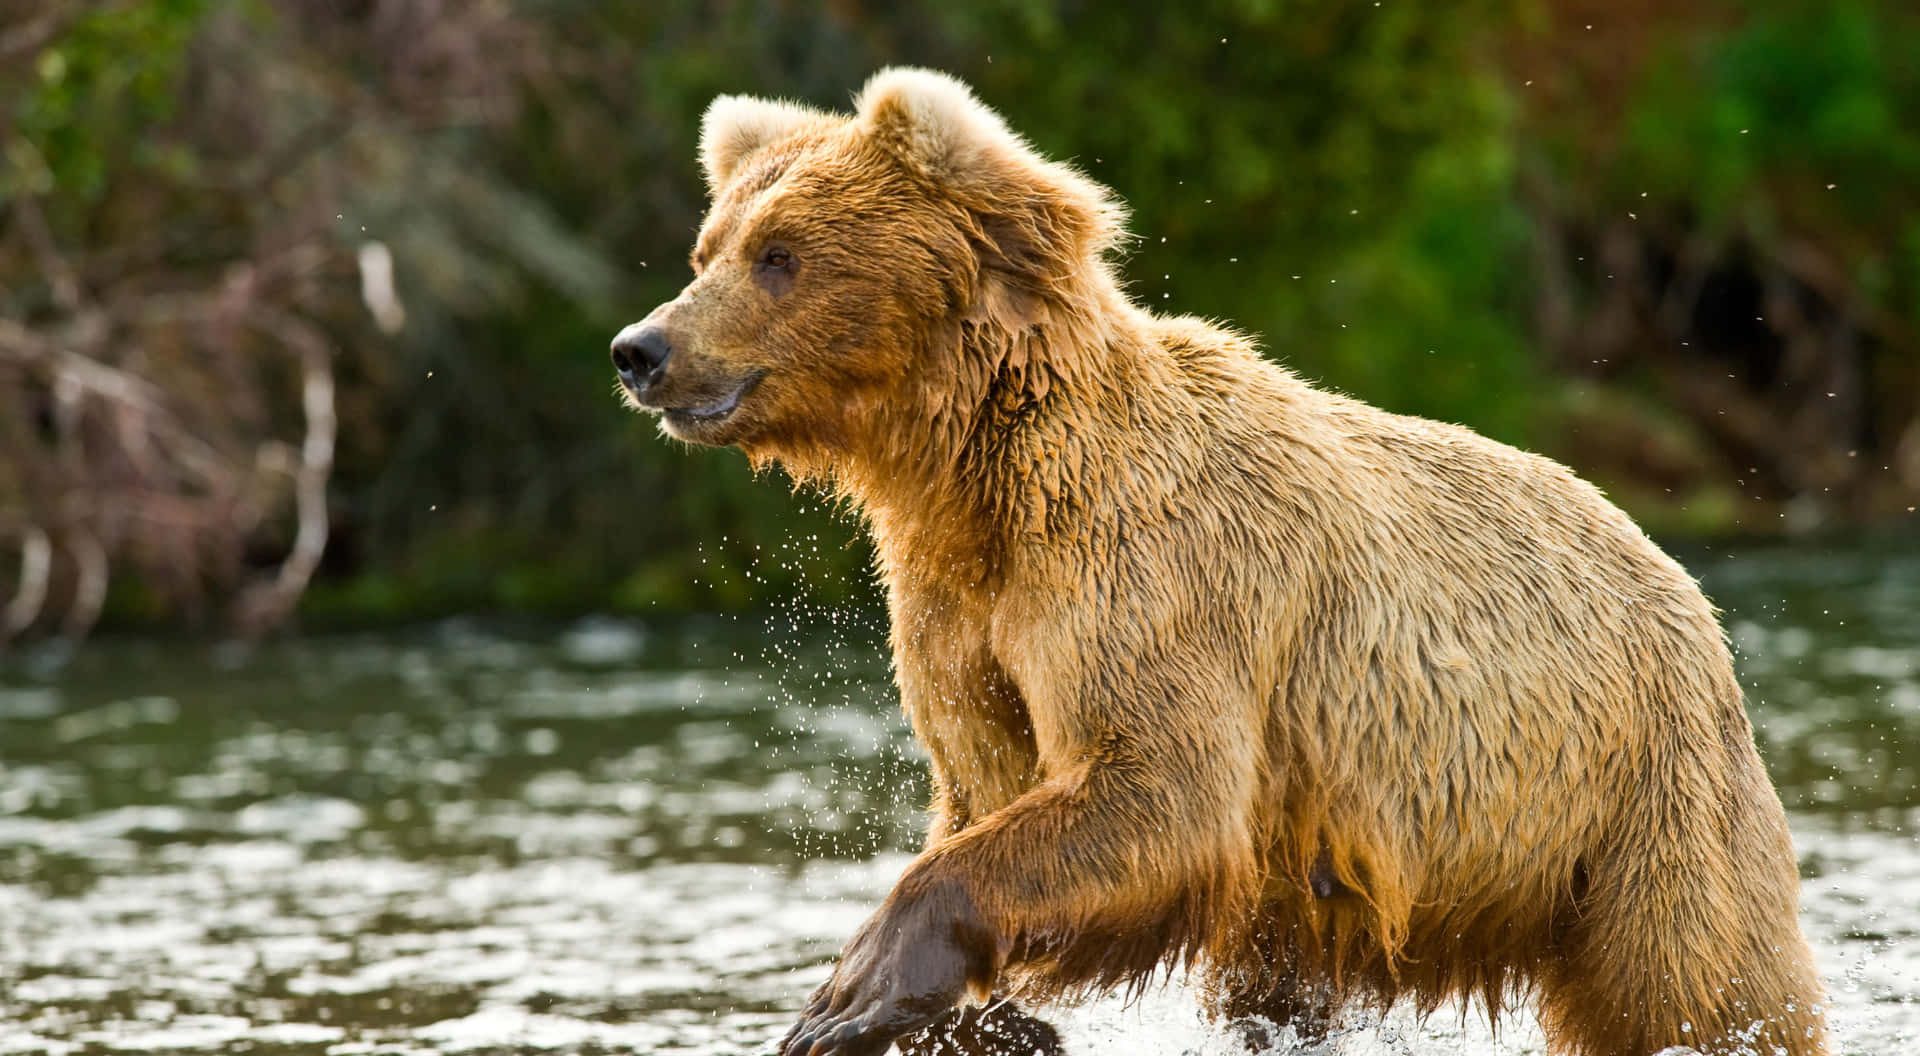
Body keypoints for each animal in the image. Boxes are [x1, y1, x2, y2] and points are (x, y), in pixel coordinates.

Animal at [610, 68, 1828, 1056]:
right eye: (709, 249)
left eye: (780, 256)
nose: (641, 349)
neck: (977, 476)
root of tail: (1676, 573)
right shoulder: (960, 615)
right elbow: (988, 784)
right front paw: (980, 1016)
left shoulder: (1148, 578)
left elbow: (1161, 786)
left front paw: (853, 990)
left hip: (1634, 795)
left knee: (1696, 983)